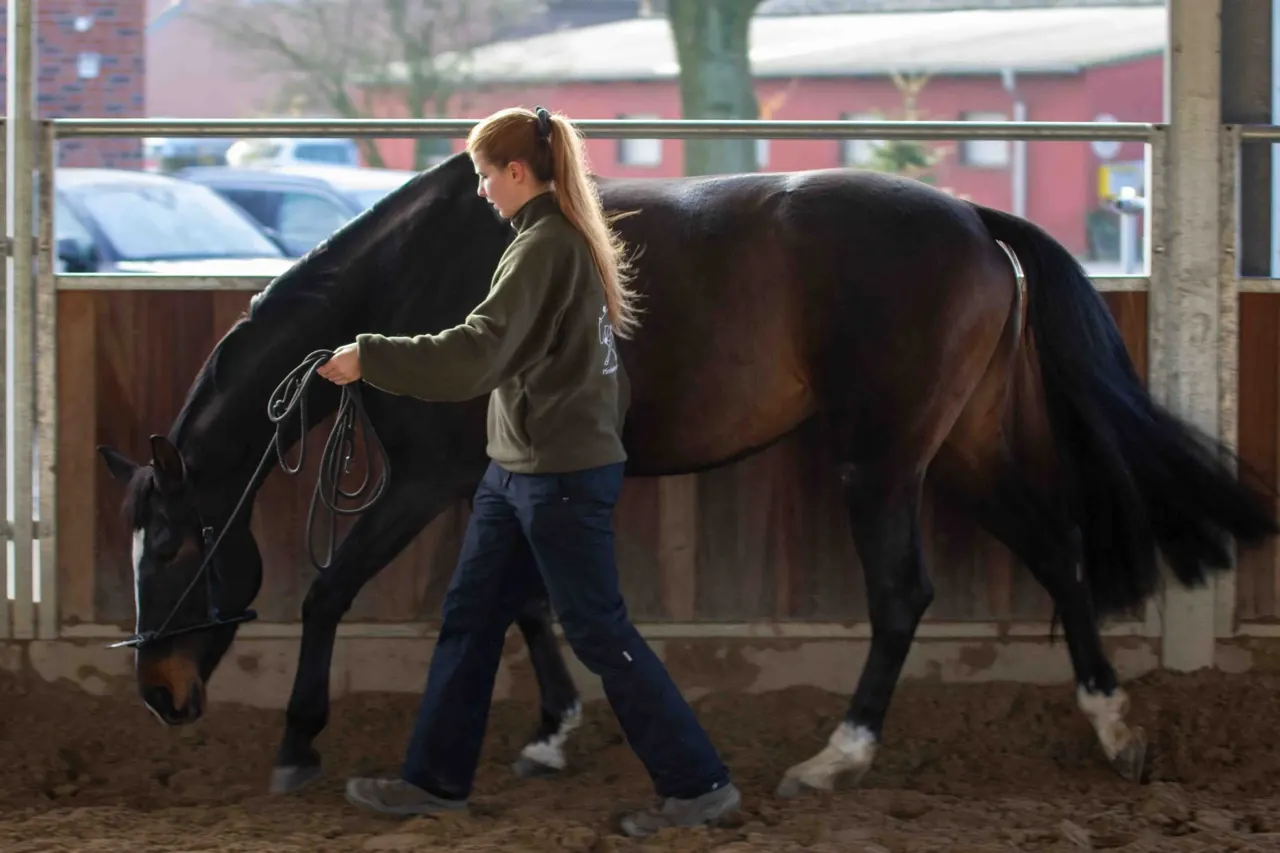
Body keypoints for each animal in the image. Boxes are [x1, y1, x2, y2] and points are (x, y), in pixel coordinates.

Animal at [97, 151, 1279, 799]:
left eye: (182, 543)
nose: (160, 695)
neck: (408, 280)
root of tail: (971, 219)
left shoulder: (426, 480)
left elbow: (331, 592)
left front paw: (298, 741)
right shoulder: (500, 475)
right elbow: (531, 603)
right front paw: (552, 734)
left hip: (884, 459)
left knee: (904, 593)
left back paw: (834, 760)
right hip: (965, 446)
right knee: (1057, 552)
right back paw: (1115, 729)